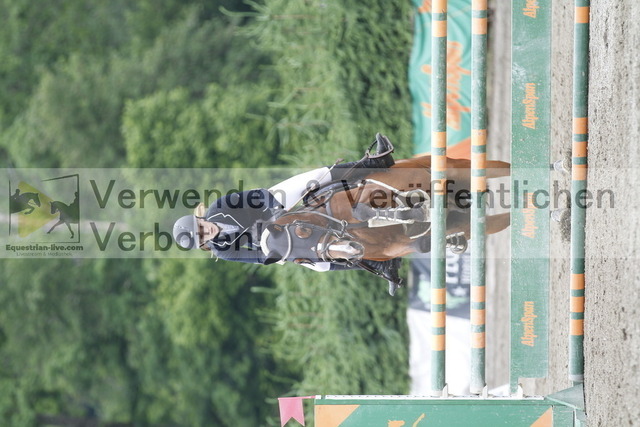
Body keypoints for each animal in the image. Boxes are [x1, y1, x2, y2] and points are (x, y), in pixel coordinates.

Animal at [260, 155, 510, 286]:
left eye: (303, 231)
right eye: (303, 261)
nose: (351, 250)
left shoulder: (374, 190)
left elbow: (363, 208)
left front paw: (416, 211)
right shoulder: (398, 245)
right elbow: (421, 243)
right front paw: (419, 216)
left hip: (455, 169)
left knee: (501, 170)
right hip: (469, 218)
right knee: (496, 220)